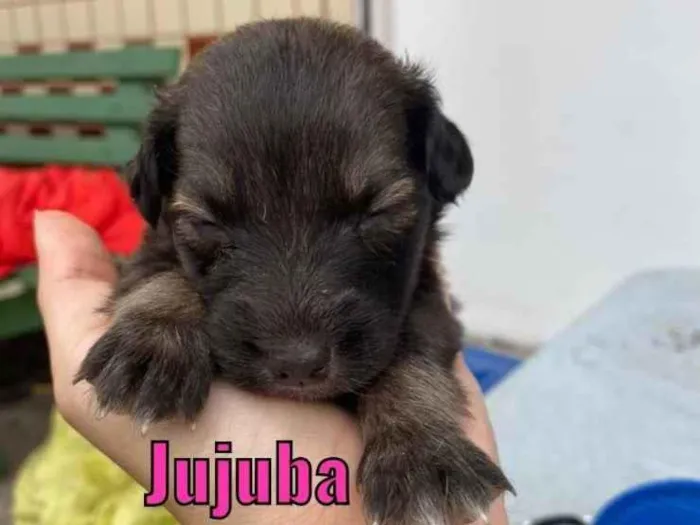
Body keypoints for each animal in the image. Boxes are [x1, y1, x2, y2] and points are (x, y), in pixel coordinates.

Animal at [76, 17, 512, 525]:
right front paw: (154, 343)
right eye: (207, 223)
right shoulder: (149, 249)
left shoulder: (426, 301)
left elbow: (412, 359)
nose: (298, 365)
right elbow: (164, 275)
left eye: (378, 213)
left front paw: (421, 454)